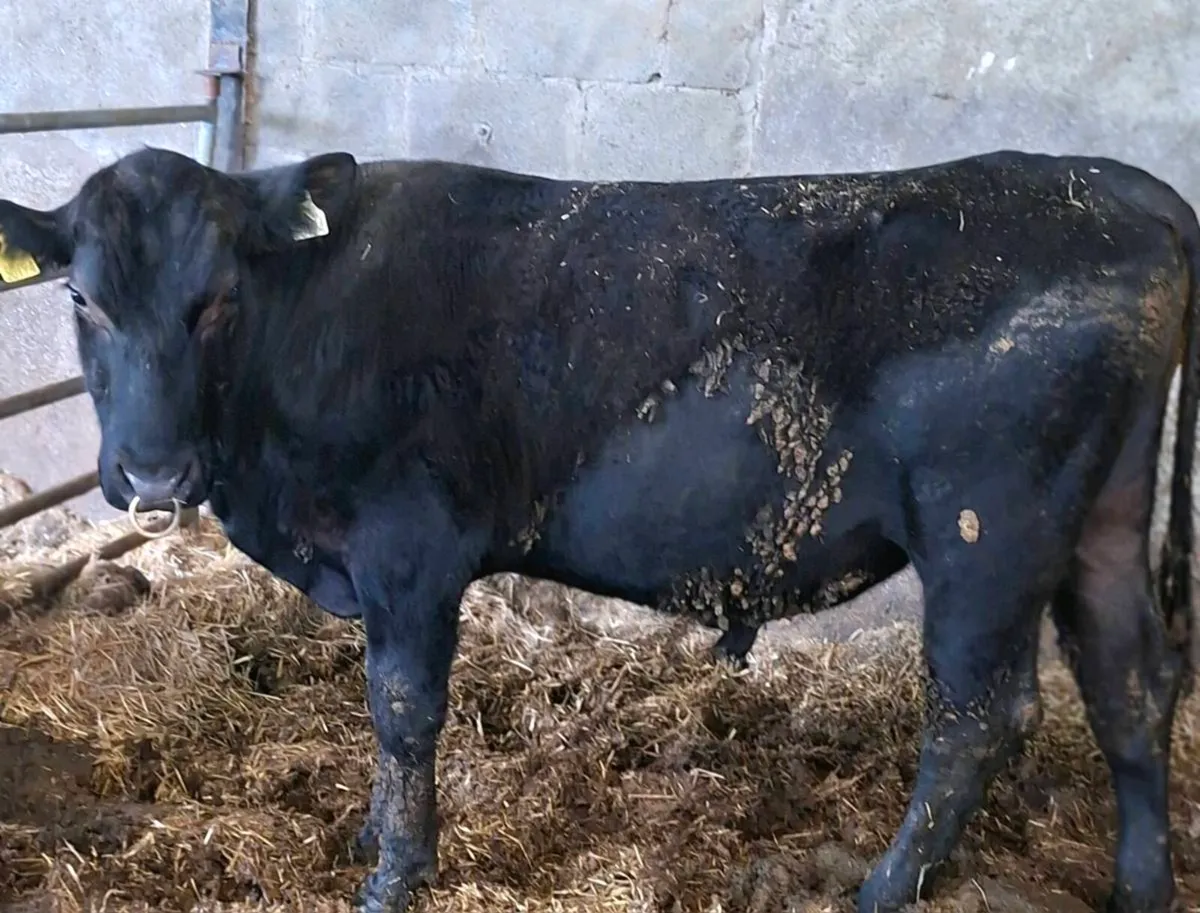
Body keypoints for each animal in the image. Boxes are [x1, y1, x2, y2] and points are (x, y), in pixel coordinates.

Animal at [0, 146, 1195, 913]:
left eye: (216, 300)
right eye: (84, 301)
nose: (154, 471)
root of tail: (1124, 189)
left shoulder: (408, 551)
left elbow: (400, 709)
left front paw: (393, 873)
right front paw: (373, 833)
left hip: (986, 535)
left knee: (977, 715)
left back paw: (884, 887)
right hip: (1099, 521)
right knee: (1127, 684)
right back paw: (1139, 885)